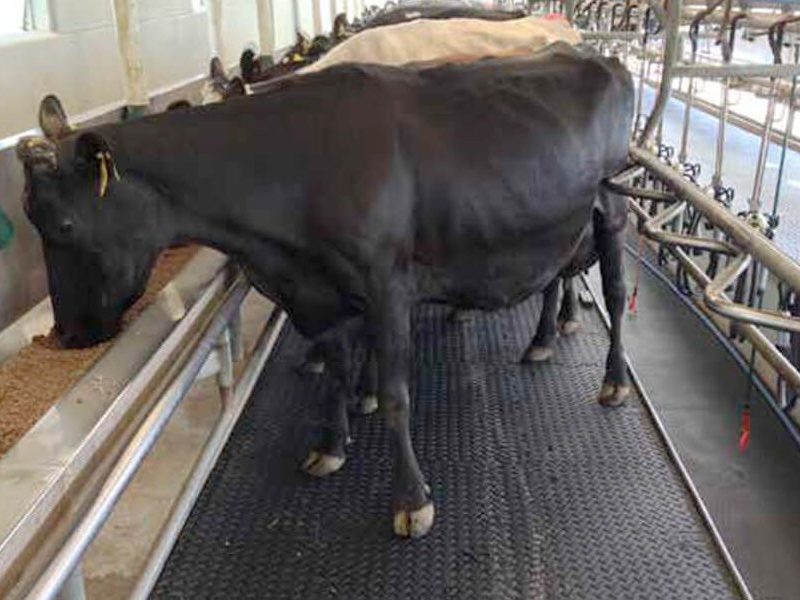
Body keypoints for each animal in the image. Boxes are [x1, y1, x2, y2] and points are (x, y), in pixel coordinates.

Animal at [17, 44, 633, 538]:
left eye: (64, 226)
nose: (66, 335)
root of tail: (595, 56)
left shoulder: (387, 284)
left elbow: (395, 396)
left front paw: (412, 501)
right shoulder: (319, 292)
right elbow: (336, 371)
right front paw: (330, 447)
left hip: (612, 208)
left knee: (615, 292)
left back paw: (613, 381)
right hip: (558, 224)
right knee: (556, 275)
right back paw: (542, 340)